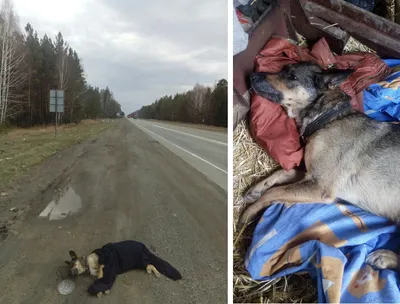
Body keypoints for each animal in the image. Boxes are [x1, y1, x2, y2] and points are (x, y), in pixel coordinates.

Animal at [241, 63, 400, 272]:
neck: (328, 117)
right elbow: (281, 173)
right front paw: (256, 189)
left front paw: (249, 212)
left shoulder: (319, 187)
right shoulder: (309, 176)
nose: (251, 76)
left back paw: (384, 257)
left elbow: (273, 192)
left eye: (292, 76)